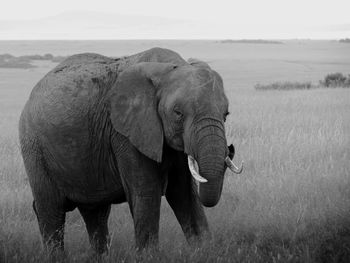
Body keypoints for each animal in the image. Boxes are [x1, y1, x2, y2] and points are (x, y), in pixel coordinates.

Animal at [19, 47, 242, 254]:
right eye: (178, 113)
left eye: (226, 114)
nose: (230, 149)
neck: (167, 68)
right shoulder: (126, 133)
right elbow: (147, 192)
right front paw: (149, 255)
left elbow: (184, 193)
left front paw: (204, 250)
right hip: (34, 147)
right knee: (51, 209)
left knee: (95, 212)